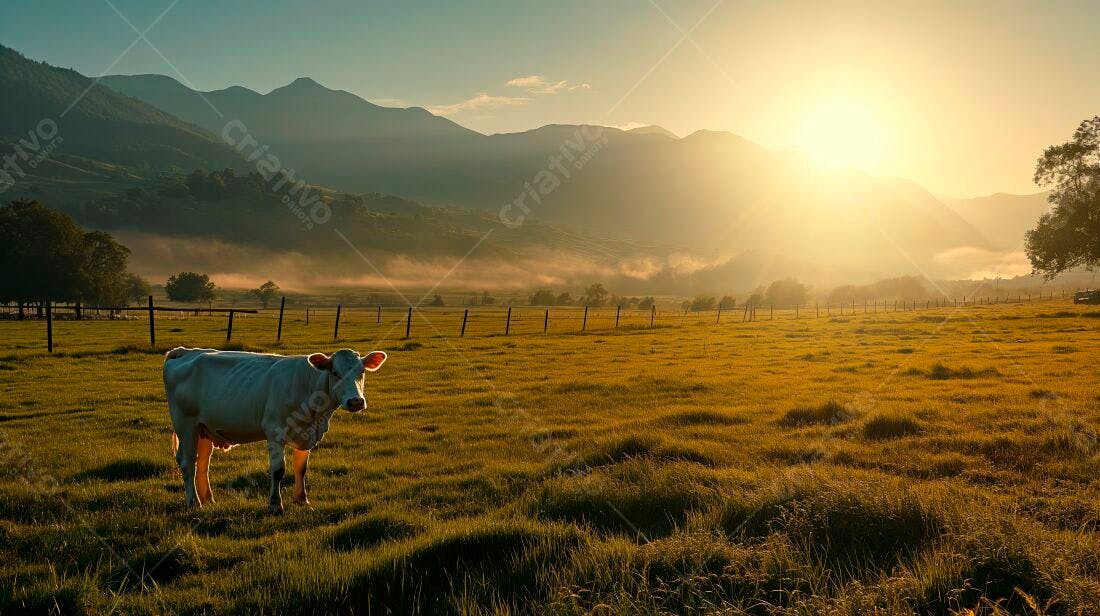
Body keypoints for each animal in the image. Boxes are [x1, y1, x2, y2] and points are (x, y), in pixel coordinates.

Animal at [163, 347, 387, 513]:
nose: (356, 401)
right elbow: (278, 470)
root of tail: (185, 351)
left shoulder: (307, 434)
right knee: (188, 463)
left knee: (203, 463)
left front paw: (301, 500)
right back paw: (194, 502)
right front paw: (275, 504)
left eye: (362, 372)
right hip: (186, 424)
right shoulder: (274, 432)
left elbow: (301, 469)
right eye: (335, 373)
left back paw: (208, 500)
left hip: (204, 429)